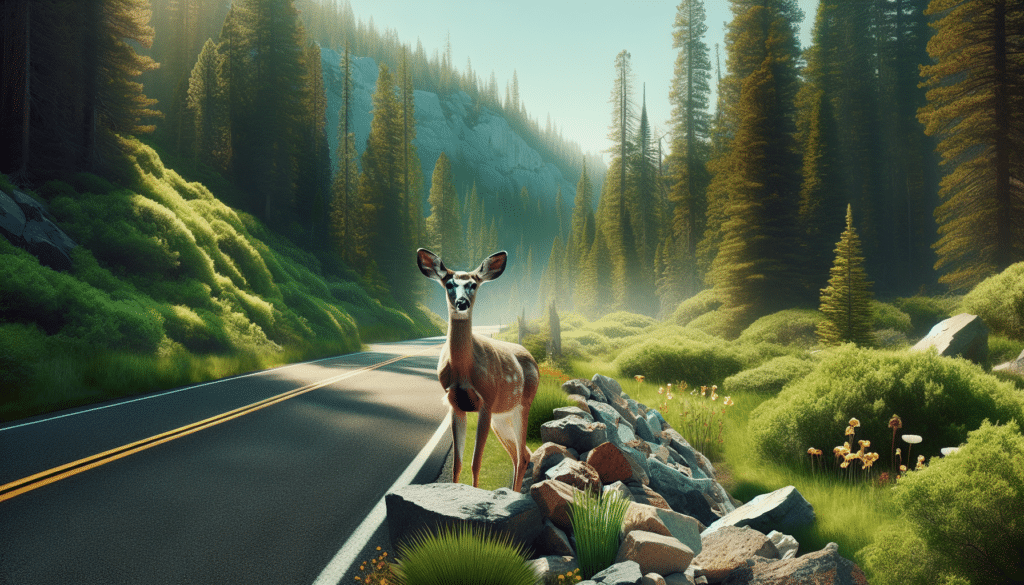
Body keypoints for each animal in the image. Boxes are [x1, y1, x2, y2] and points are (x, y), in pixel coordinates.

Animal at [417, 248, 539, 492]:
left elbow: (476, 462)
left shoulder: (487, 401)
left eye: (473, 284)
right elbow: (458, 464)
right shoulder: (455, 404)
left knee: (522, 455)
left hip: (523, 405)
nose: (462, 302)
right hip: (502, 416)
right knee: (521, 455)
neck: (464, 370)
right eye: (449, 283)